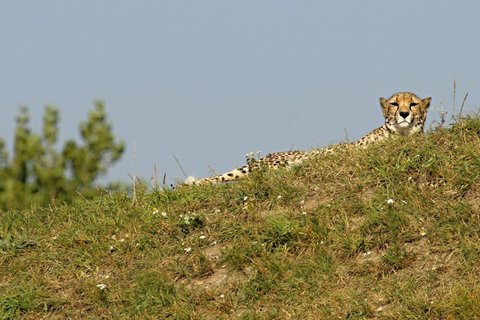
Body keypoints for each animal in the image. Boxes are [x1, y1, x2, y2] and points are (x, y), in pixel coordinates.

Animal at [187, 91, 432, 186]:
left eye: (413, 104)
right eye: (394, 103)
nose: (404, 114)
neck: (400, 135)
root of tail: (263, 158)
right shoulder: (354, 149)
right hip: (275, 165)